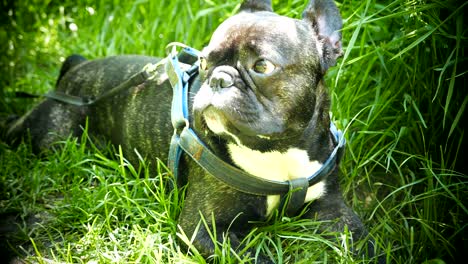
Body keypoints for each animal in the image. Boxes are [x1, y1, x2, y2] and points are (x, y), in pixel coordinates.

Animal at [7, 0, 378, 262]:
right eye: (203, 62)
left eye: (262, 66)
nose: (218, 78)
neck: (277, 150)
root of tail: (77, 68)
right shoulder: (205, 230)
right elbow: (255, 258)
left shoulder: (333, 208)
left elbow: (362, 239)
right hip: (49, 137)